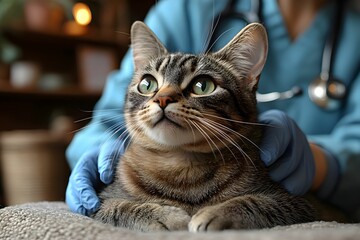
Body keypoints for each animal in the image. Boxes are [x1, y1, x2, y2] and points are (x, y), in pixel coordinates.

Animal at [93, 21, 316, 232]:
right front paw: (165, 216)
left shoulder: (298, 204)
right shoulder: (97, 203)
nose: (163, 98)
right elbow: (121, 207)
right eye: (147, 84)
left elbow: (255, 202)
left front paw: (215, 213)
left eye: (202, 86)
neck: (181, 165)